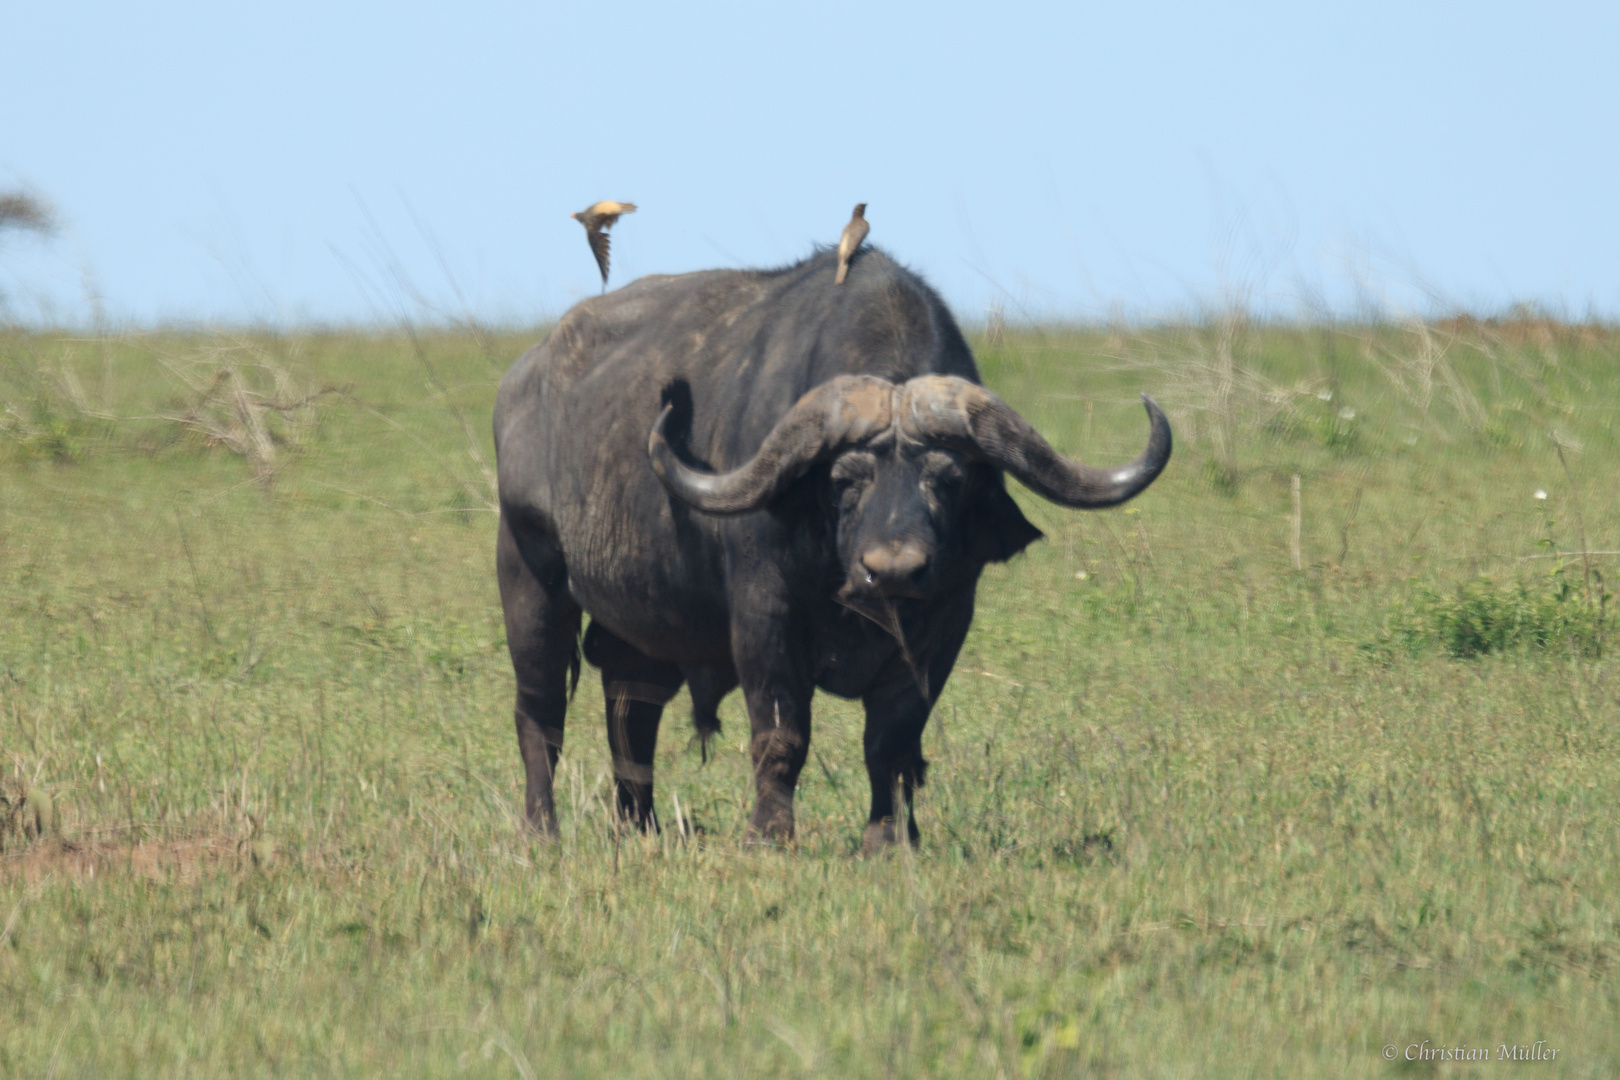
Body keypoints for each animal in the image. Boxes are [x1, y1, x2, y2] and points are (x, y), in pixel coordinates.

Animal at [486, 247, 1172, 854]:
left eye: (948, 479)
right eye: (845, 479)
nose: (892, 571)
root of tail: (522, 382)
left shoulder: (943, 626)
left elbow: (892, 744)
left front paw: (890, 841)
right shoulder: (764, 618)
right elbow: (781, 734)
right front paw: (768, 837)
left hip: (644, 624)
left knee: (631, 711)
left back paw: (640, 830)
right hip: (529, 575)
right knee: (540, 714)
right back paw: (541, 832)